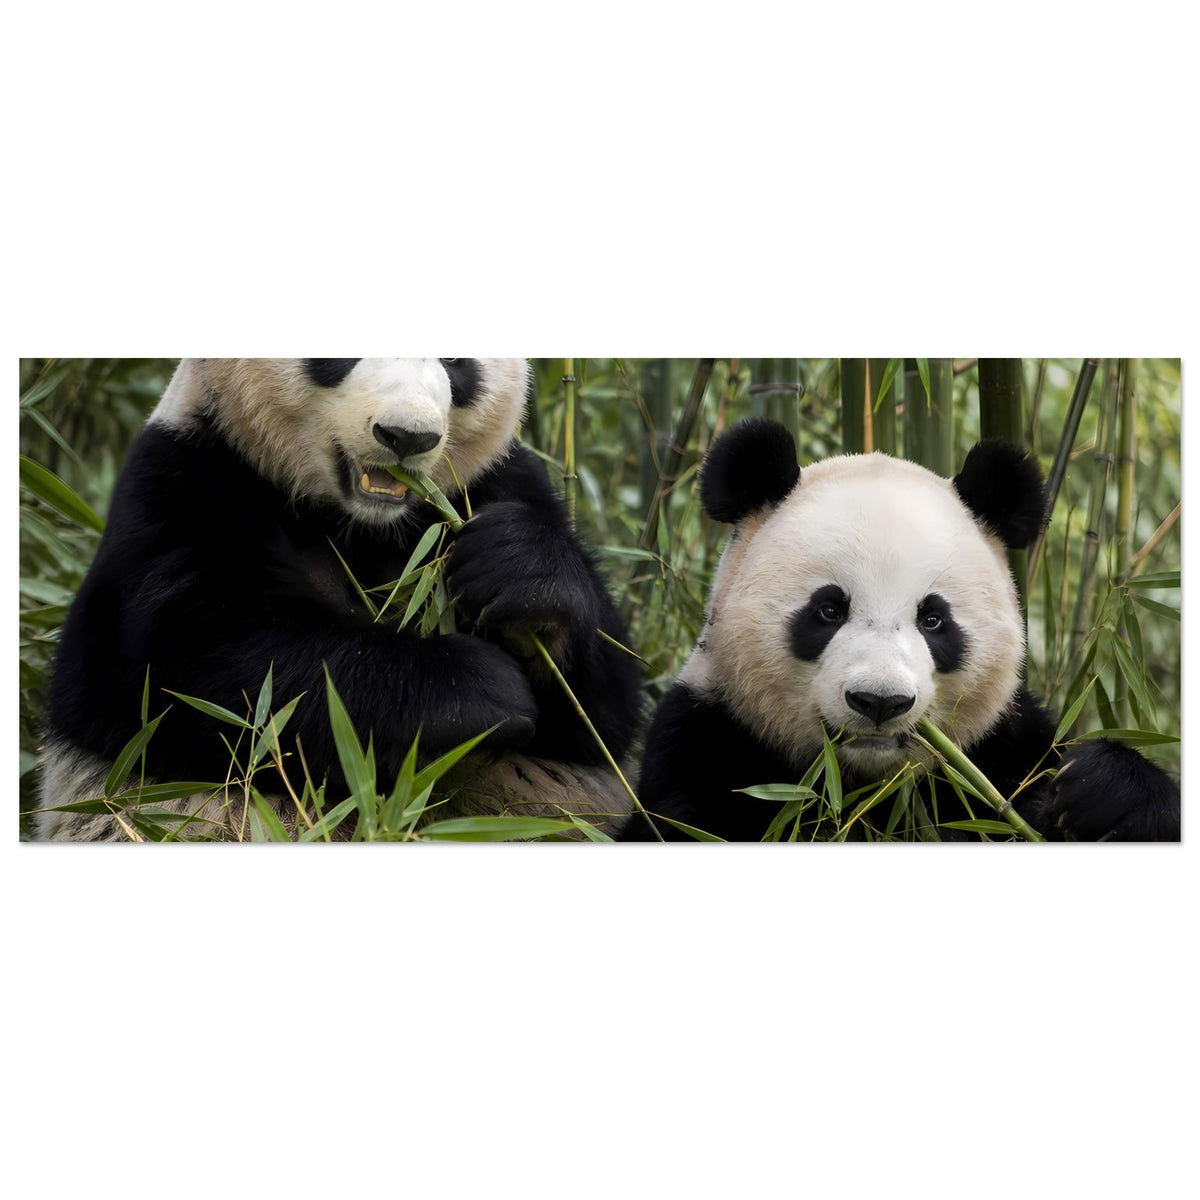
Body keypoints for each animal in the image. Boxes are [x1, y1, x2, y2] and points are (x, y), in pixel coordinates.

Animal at [39, 358, 641, 840]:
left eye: (457, 361)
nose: (406, 437)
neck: (360, 524)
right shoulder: (184, 484)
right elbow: (205, 670)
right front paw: (477, 690)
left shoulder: (493, 483)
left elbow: (603, 713)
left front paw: (519, 572)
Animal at [619, 418, 1180, 842]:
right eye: (828, 611)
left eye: (933, 619)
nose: (880, 702)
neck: (865, 787)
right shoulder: (706, 743)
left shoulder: (1000, 752)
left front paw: (1106, 794)